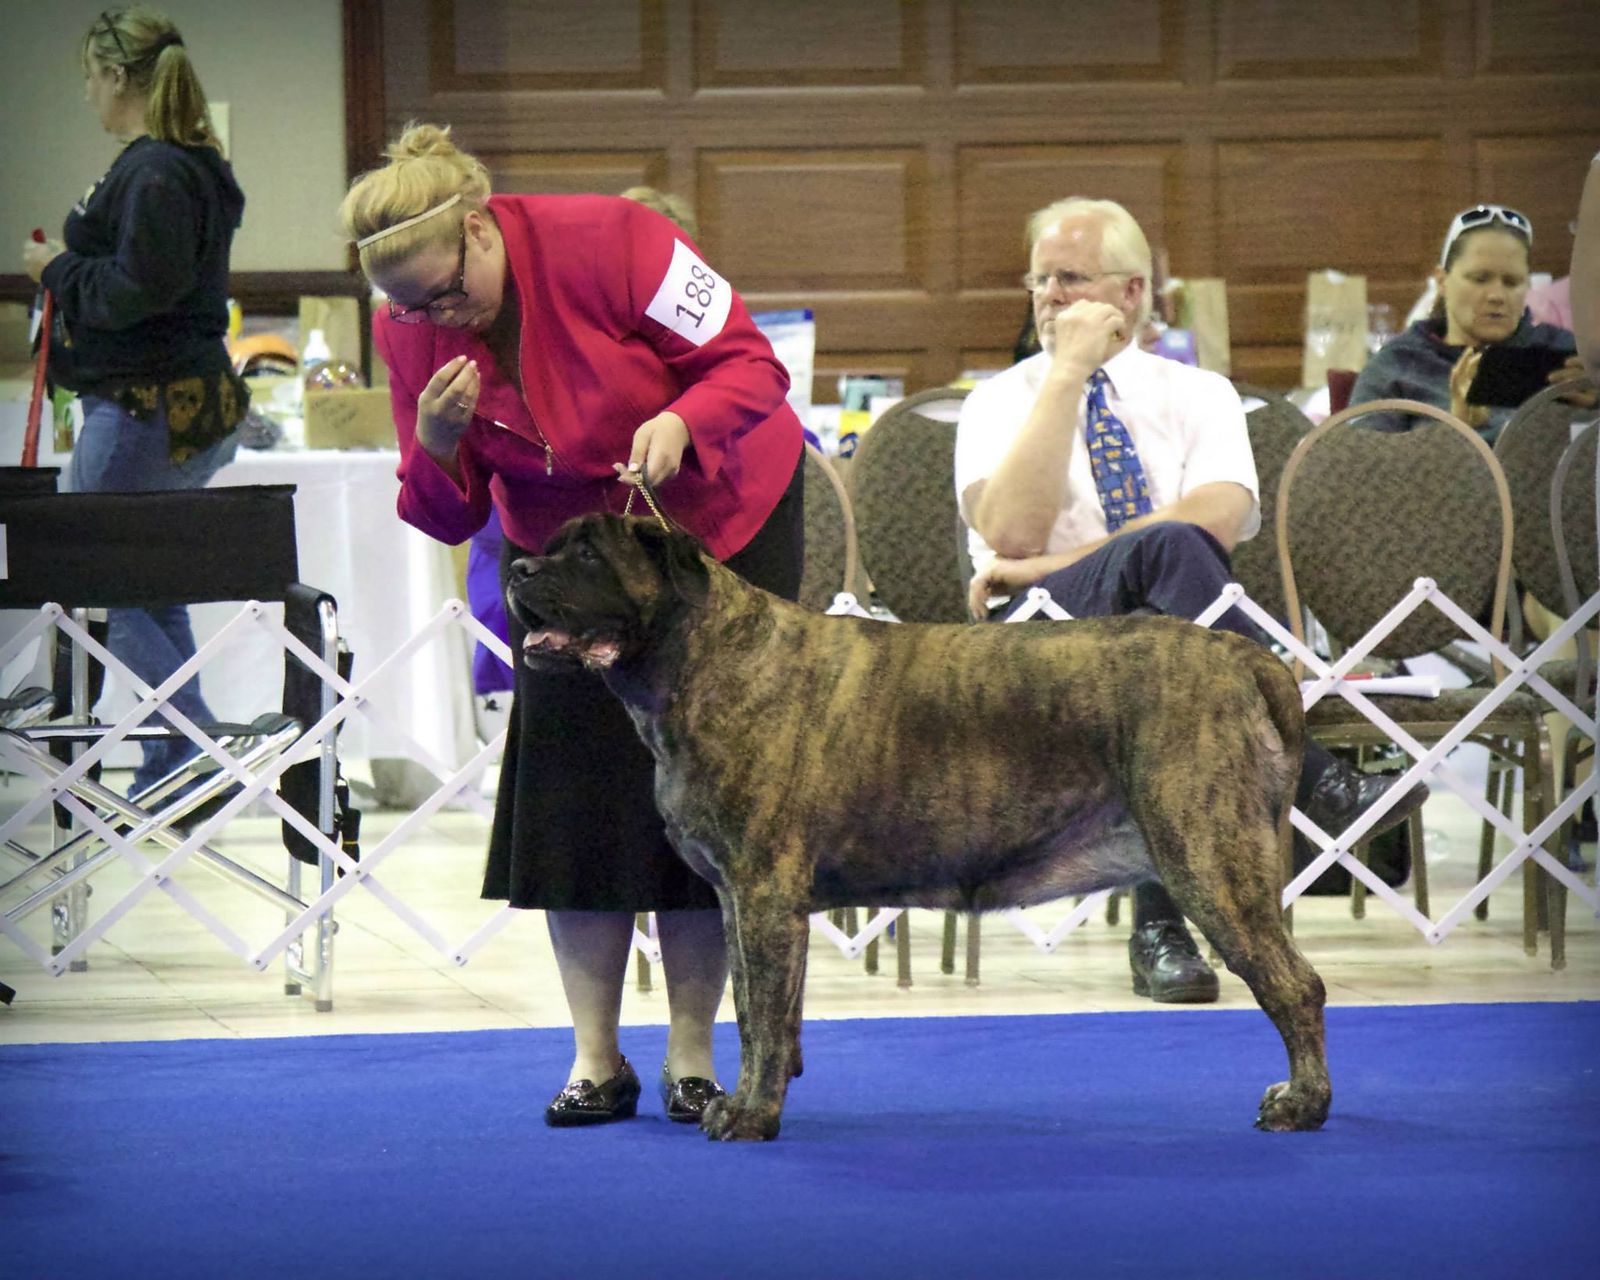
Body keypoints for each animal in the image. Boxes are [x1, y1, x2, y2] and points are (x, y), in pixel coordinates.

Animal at [508, 513, 1331, 1140]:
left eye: (588, 554)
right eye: (552, 542)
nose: (517, 568)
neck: (701, 657)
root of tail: (1245, 658)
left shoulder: (763, 892)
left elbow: (763, 1016)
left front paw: (750, 1114)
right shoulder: (740, 900)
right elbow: (752, 1006)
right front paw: (752, 1095)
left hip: (1211, 861)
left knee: (1296, 985)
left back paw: (1303, 1104)